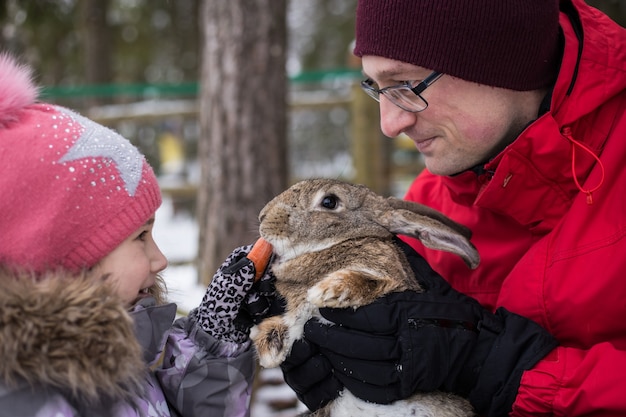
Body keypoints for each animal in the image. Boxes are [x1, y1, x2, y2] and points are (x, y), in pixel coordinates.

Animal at [250, 178, 478, 416]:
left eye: (329, 201)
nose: (263, 217)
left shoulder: (393, 279)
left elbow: (368, 281)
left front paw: (327, 291)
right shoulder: (297, 318)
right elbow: (287, 325)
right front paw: (269, 348)